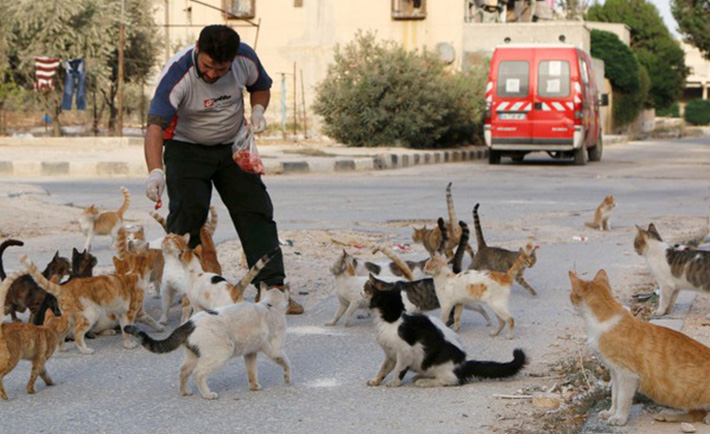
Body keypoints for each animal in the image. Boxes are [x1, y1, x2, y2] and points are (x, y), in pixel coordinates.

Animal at [1, 269, 71, 401]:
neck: (49, 329)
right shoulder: (39, 360)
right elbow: (33, 376)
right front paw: (31, 390)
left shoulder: (39, 361)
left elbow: (44, 374)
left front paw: (50, 382)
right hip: (12, 359)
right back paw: (4, 396)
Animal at [21, 252, 163, 354]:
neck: (136, 273)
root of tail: (64, 287)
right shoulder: (132, 312)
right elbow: (140, 324)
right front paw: (131, 344)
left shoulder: (125, 314)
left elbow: (133, 326)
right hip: (91, 314)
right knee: (78, 333)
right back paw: (85, 350)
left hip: (70, 317)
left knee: (63, 332)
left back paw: (62, 348)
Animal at [124, 283, 291, 400]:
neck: (269, 305)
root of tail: (188, 324)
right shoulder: (275, 350)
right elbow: (286, 364)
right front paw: (288, 380)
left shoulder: (250, 352)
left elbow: (252, 372)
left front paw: (254, 387)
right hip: (222, 352)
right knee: (198, 373)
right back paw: (208, 395)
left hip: (193, 355)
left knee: (183, 371)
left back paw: (184, 392)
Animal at [362, 277, 526, 388]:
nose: (366, 288)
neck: (392, 320)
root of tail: (462, 364)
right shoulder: (390, 354)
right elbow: (383, 369)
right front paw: (375, 381)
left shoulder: (405, 353)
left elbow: (398, 369)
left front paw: (394, 383)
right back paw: (420, 377)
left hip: (441, 366)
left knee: (451, 380)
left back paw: (425, 381)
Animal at [569, 269, 710, 426]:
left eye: (571, 295)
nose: (570, 299)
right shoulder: (615, 373)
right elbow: (615, 396)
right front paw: (611, 413)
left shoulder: (627, 375)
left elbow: (622, 399)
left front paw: (619, 418)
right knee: (697, 414)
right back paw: (667, 415)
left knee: (703, 415)